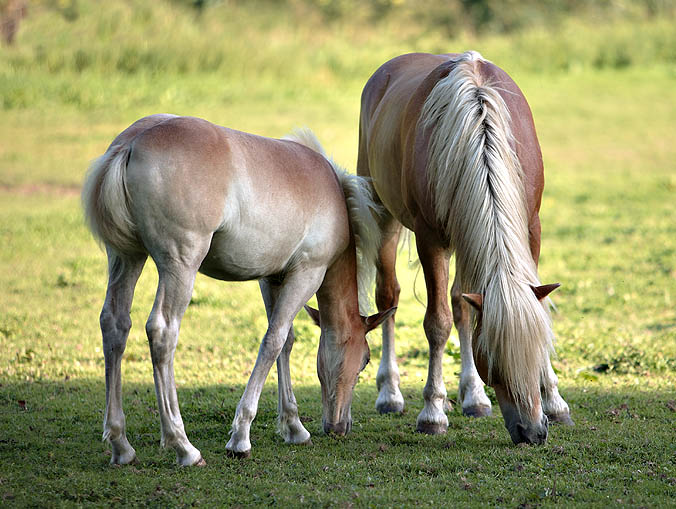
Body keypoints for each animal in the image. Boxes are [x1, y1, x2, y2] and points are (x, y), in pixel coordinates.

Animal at [82, 115, 394, 464]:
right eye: (365, 359)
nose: (341, 427)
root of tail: (133, 141)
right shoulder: (306, 275)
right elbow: (273, 342)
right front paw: (241, 436)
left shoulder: (272, 279)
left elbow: (285, 342)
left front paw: (293, 427)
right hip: (180, 266)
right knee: (162, 331)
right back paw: (183, 446)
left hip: (127, 258)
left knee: (115, 325)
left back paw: (121, 445)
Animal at [356, 49, 572, 442]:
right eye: (495, 365)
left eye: (536, 354)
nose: (533, 432)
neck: (479, 122)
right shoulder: (430, 239)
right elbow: (437, 323)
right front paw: (432, 412)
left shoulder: (531, 226)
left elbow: (530, 306)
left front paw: (555, 401)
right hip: (383, 214)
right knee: (388, 298)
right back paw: (390, 393)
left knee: (462, 303)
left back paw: (473, 397)